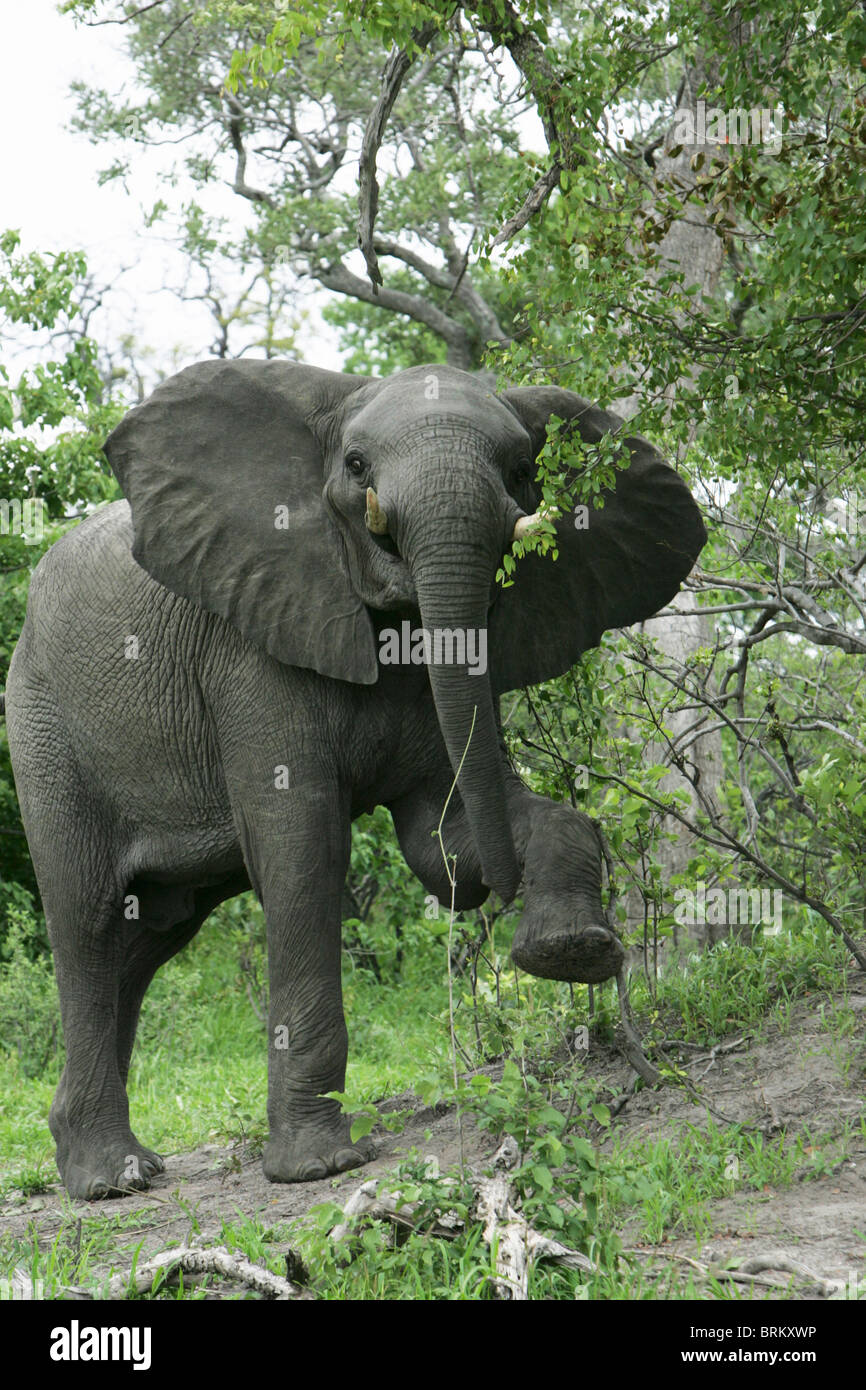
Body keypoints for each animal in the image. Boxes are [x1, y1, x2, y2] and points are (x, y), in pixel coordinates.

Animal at [3, 360, 706, 1198]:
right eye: (358, 466)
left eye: (520, 469)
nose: (504, 900)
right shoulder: (254, 645)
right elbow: (304, 852)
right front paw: (319, 1167)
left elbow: (442, 837)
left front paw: (570, 950)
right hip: (43, 728)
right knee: (87, 920)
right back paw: (112, 1180)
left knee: (146, 939)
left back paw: (109, 1162)